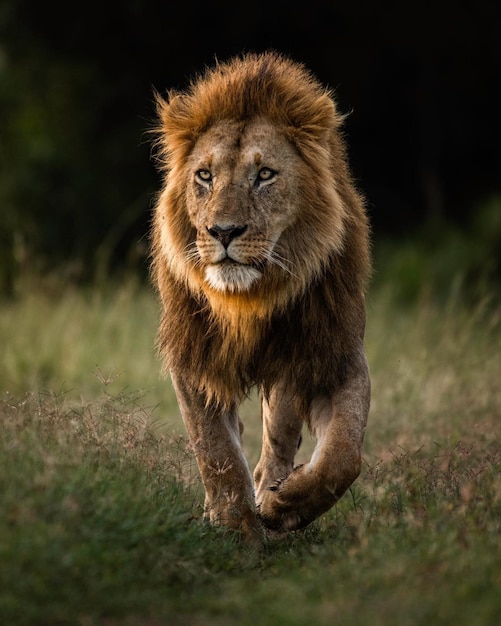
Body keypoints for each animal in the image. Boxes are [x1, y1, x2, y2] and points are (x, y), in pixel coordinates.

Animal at [150, 51, 370, 540]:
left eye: (265, 175)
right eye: (205, 176)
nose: (223, 231)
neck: (249, 300)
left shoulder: (333, 352)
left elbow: (343, 453)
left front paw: (284, 505)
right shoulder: (194, 355)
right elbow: (215, 450)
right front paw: (236, 530)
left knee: (280, 431)